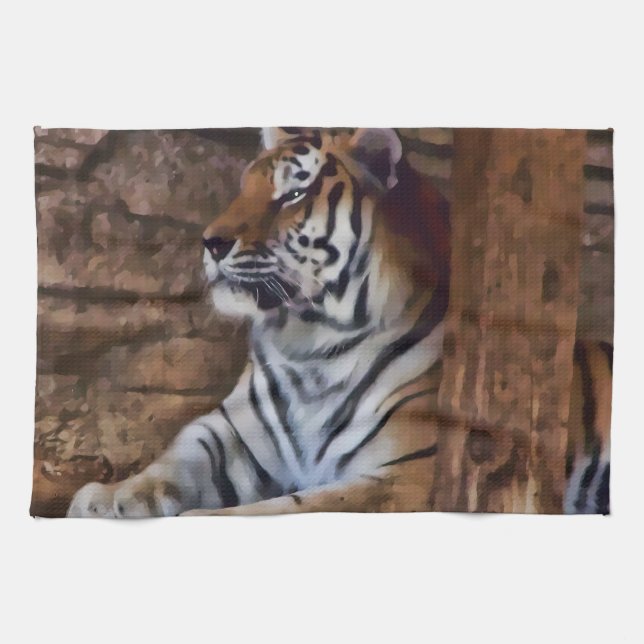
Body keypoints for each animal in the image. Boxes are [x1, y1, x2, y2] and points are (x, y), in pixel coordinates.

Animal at [67, 127, 611, 517]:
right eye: (244, 188)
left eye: (291, 196)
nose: (210, 242)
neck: (312, 345)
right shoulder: (232, 431)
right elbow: (179, 455)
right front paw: (105, 497)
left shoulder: (410, 473)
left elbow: (286, 510)